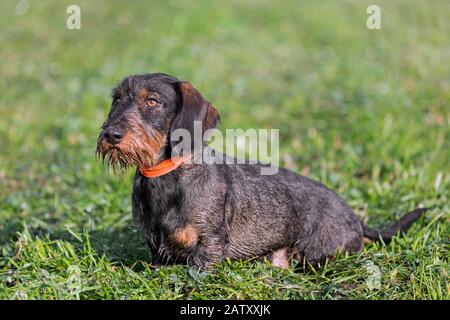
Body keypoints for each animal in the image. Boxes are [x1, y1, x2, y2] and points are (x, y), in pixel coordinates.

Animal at [96, 72, 428, 268]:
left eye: (152, 101)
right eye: (117, 99)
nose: (111, 134)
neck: (166, 177)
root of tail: (356, 219)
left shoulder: (209, 244)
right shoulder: (156, 248)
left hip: (316, 255)